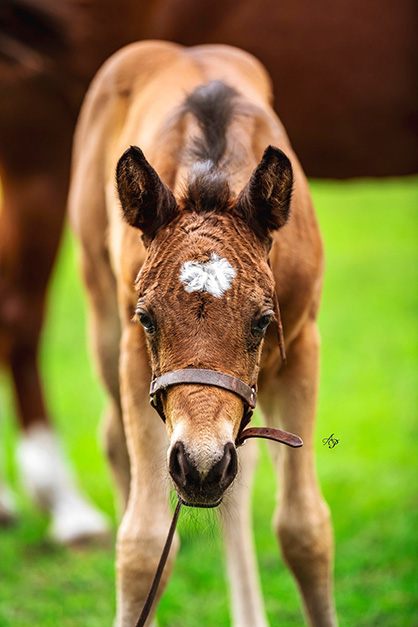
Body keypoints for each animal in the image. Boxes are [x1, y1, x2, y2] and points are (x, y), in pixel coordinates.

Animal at [68, 41, 336, 624]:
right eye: (147, 318)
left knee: (242, 474)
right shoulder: (134, 354)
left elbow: (305, 528)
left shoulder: (303, 344)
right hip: (101, 319)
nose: (200, 466)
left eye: (262, 321)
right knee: (117, 443)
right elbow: (144, 544)